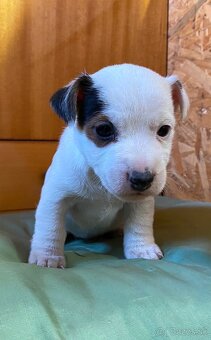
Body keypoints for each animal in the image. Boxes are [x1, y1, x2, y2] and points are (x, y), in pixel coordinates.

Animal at [28, 63, 190, 268]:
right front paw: (47, 256)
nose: (142, 179)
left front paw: (141, 249)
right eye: (104, 129)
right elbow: (51, 226)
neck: (99, 182)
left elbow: (140, 223)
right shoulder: (55, 196)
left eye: (164, 130)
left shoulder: (141, 203)